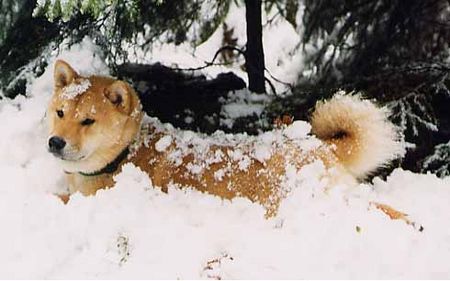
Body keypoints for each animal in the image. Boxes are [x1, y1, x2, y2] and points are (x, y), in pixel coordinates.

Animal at [47, 60, 402, 215]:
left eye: (88, 121)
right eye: (61, 113)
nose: (55, 142)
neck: (124, 155)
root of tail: (319, 144)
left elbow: (60, 199)